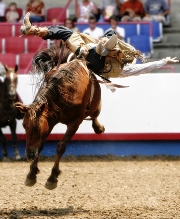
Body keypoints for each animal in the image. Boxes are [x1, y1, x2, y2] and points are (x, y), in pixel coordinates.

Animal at [16, 43, 105, 190]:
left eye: (37, 127)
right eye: (24, 126)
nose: (29, 155)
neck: (62, 93)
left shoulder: (75, 123)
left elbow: (60, 147)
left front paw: (52, 177)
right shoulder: (50, 121)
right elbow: (40, 145)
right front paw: (31, 174)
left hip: (94, 106)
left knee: (95, 114)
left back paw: (99, 128)